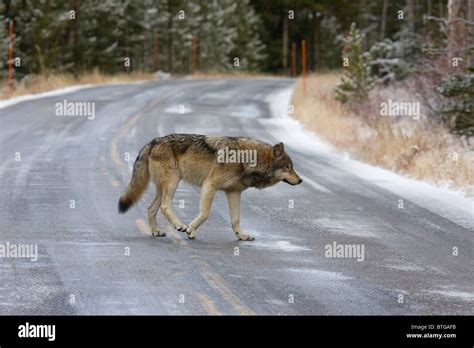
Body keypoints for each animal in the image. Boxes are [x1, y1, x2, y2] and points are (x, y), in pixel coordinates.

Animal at [118, 135, 304, 241]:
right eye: (287, 167)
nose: (301, 180)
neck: (248, 160)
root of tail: (152, 142)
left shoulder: (234, 192)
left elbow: (235, 220)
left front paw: (242, 236)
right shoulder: (210, 185)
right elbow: (205, 213)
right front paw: (190, 230)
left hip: (164, 187)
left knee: (151, 208)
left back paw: (156, 232)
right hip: (173, 182)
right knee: (164, 207)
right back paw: (180, 226)